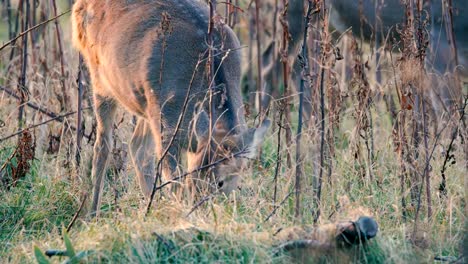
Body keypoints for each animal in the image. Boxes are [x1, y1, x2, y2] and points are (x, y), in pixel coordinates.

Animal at [71, 0, 272, 217]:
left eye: (220, 182)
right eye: (194, 176)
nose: (200, 208)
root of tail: (79, 5)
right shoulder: (168, 125)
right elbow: (174, 183)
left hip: (147, 100)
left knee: (137, 147)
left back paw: (149, 206)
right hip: (101, 79)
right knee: (103, 145)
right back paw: (92, 213)